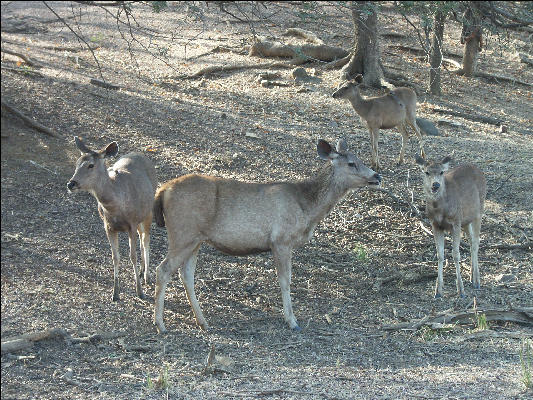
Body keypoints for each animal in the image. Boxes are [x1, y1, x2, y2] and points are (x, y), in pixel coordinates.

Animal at [66, 136, 156, 302]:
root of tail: (140, 154)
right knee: (142, 239)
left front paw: (139, 291)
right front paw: (115, 293)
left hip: (148, 211)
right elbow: (115, 257)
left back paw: (147, 276)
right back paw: (141, 272)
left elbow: (132, 256)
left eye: (91, 165)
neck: (115, 207)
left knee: (146, 239)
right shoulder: (108, 226)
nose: (71, 183)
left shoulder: (132, 223)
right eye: (76, 163)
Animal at [152, 139, 380, 332]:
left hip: (195, 239)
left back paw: (203, 322)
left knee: (186, 275)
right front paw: (292, 321)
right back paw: (161, 325)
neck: (307, 209)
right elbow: (285, 280)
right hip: (183, 233)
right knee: (162, 269)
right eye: (351, 163)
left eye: (361, 159)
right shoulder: (281, 240)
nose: (377, 176)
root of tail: (162, 190)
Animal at [416, 155, 486, 298]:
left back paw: (477, 281)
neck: (440, 209)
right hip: (466, 220)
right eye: (426, 172)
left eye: (442, 172)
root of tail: (478, 170)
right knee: (471, 241)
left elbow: (455, 254)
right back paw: (471, 276)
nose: (436, 185)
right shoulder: (435, 224)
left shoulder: (456, 222)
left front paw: (461, 290)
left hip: (478, 212)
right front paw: (438, 290)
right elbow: (440, 255)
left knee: (476, 242)